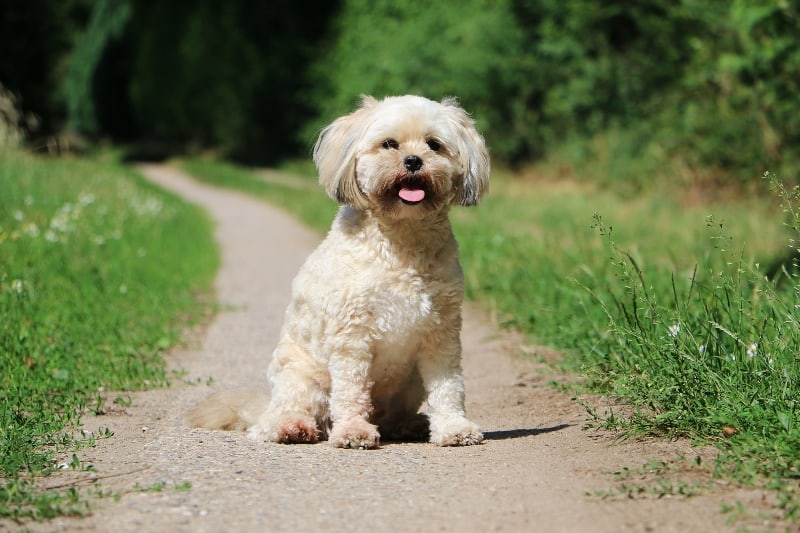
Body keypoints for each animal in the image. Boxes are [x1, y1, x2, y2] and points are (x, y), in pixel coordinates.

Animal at [189, 93, 488, 446]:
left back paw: (408, 423)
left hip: (410, 380)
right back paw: (292, 427)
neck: (402, 241)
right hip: (301, 378)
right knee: (277, 419)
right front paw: (353, 430)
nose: (414, 161)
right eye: (389, 144)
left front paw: (454, 427)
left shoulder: (442, 333)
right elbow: (351, 390)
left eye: (434, 145)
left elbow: (448, 387)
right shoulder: (351, 334)